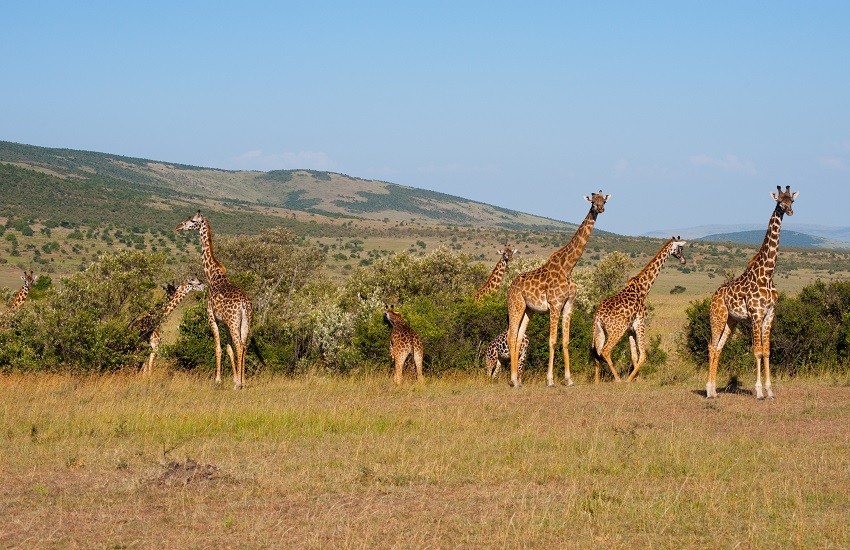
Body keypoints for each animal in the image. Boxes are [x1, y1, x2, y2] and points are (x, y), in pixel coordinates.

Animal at [504, 192, 608, 390]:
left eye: (604, 200)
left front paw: (569, 379)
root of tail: (510, 286)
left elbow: (565, 341)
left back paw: (517, 380)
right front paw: (550, 380)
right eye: (593, 201)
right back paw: (512, 380)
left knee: (519, 337)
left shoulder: (568, 305)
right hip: (516, 305)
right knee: (511, 335)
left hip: (528, 310)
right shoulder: (555, 304)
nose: (600, 209)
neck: (568, 267)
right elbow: (552, 341)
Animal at [592, 236, 684, 384]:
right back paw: (618, 379)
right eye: (680, 248)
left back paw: (597, 382)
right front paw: (630, 379)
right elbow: (643, 355)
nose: (683, 260)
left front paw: (637, 379)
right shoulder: (640, 323)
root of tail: (597, 316)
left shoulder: (630, 328)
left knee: (597, 353)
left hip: (599, 331)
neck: (644, 288)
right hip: (617, 330)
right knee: (605, 350)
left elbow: (634, 355)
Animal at [704, 187, 800, 402]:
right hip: (718, 317)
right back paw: (708, 390)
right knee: (712, 347)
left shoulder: (770, 314)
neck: (767, 273)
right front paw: (759, 392)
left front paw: (770, 391)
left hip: (731, 321)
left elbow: (767, 352)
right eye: (779, 202)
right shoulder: (756, 314)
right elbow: (757, 352)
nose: (790, 212)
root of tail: (713, 296)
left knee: (719, 348)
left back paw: (714, 391)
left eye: (791, 201)